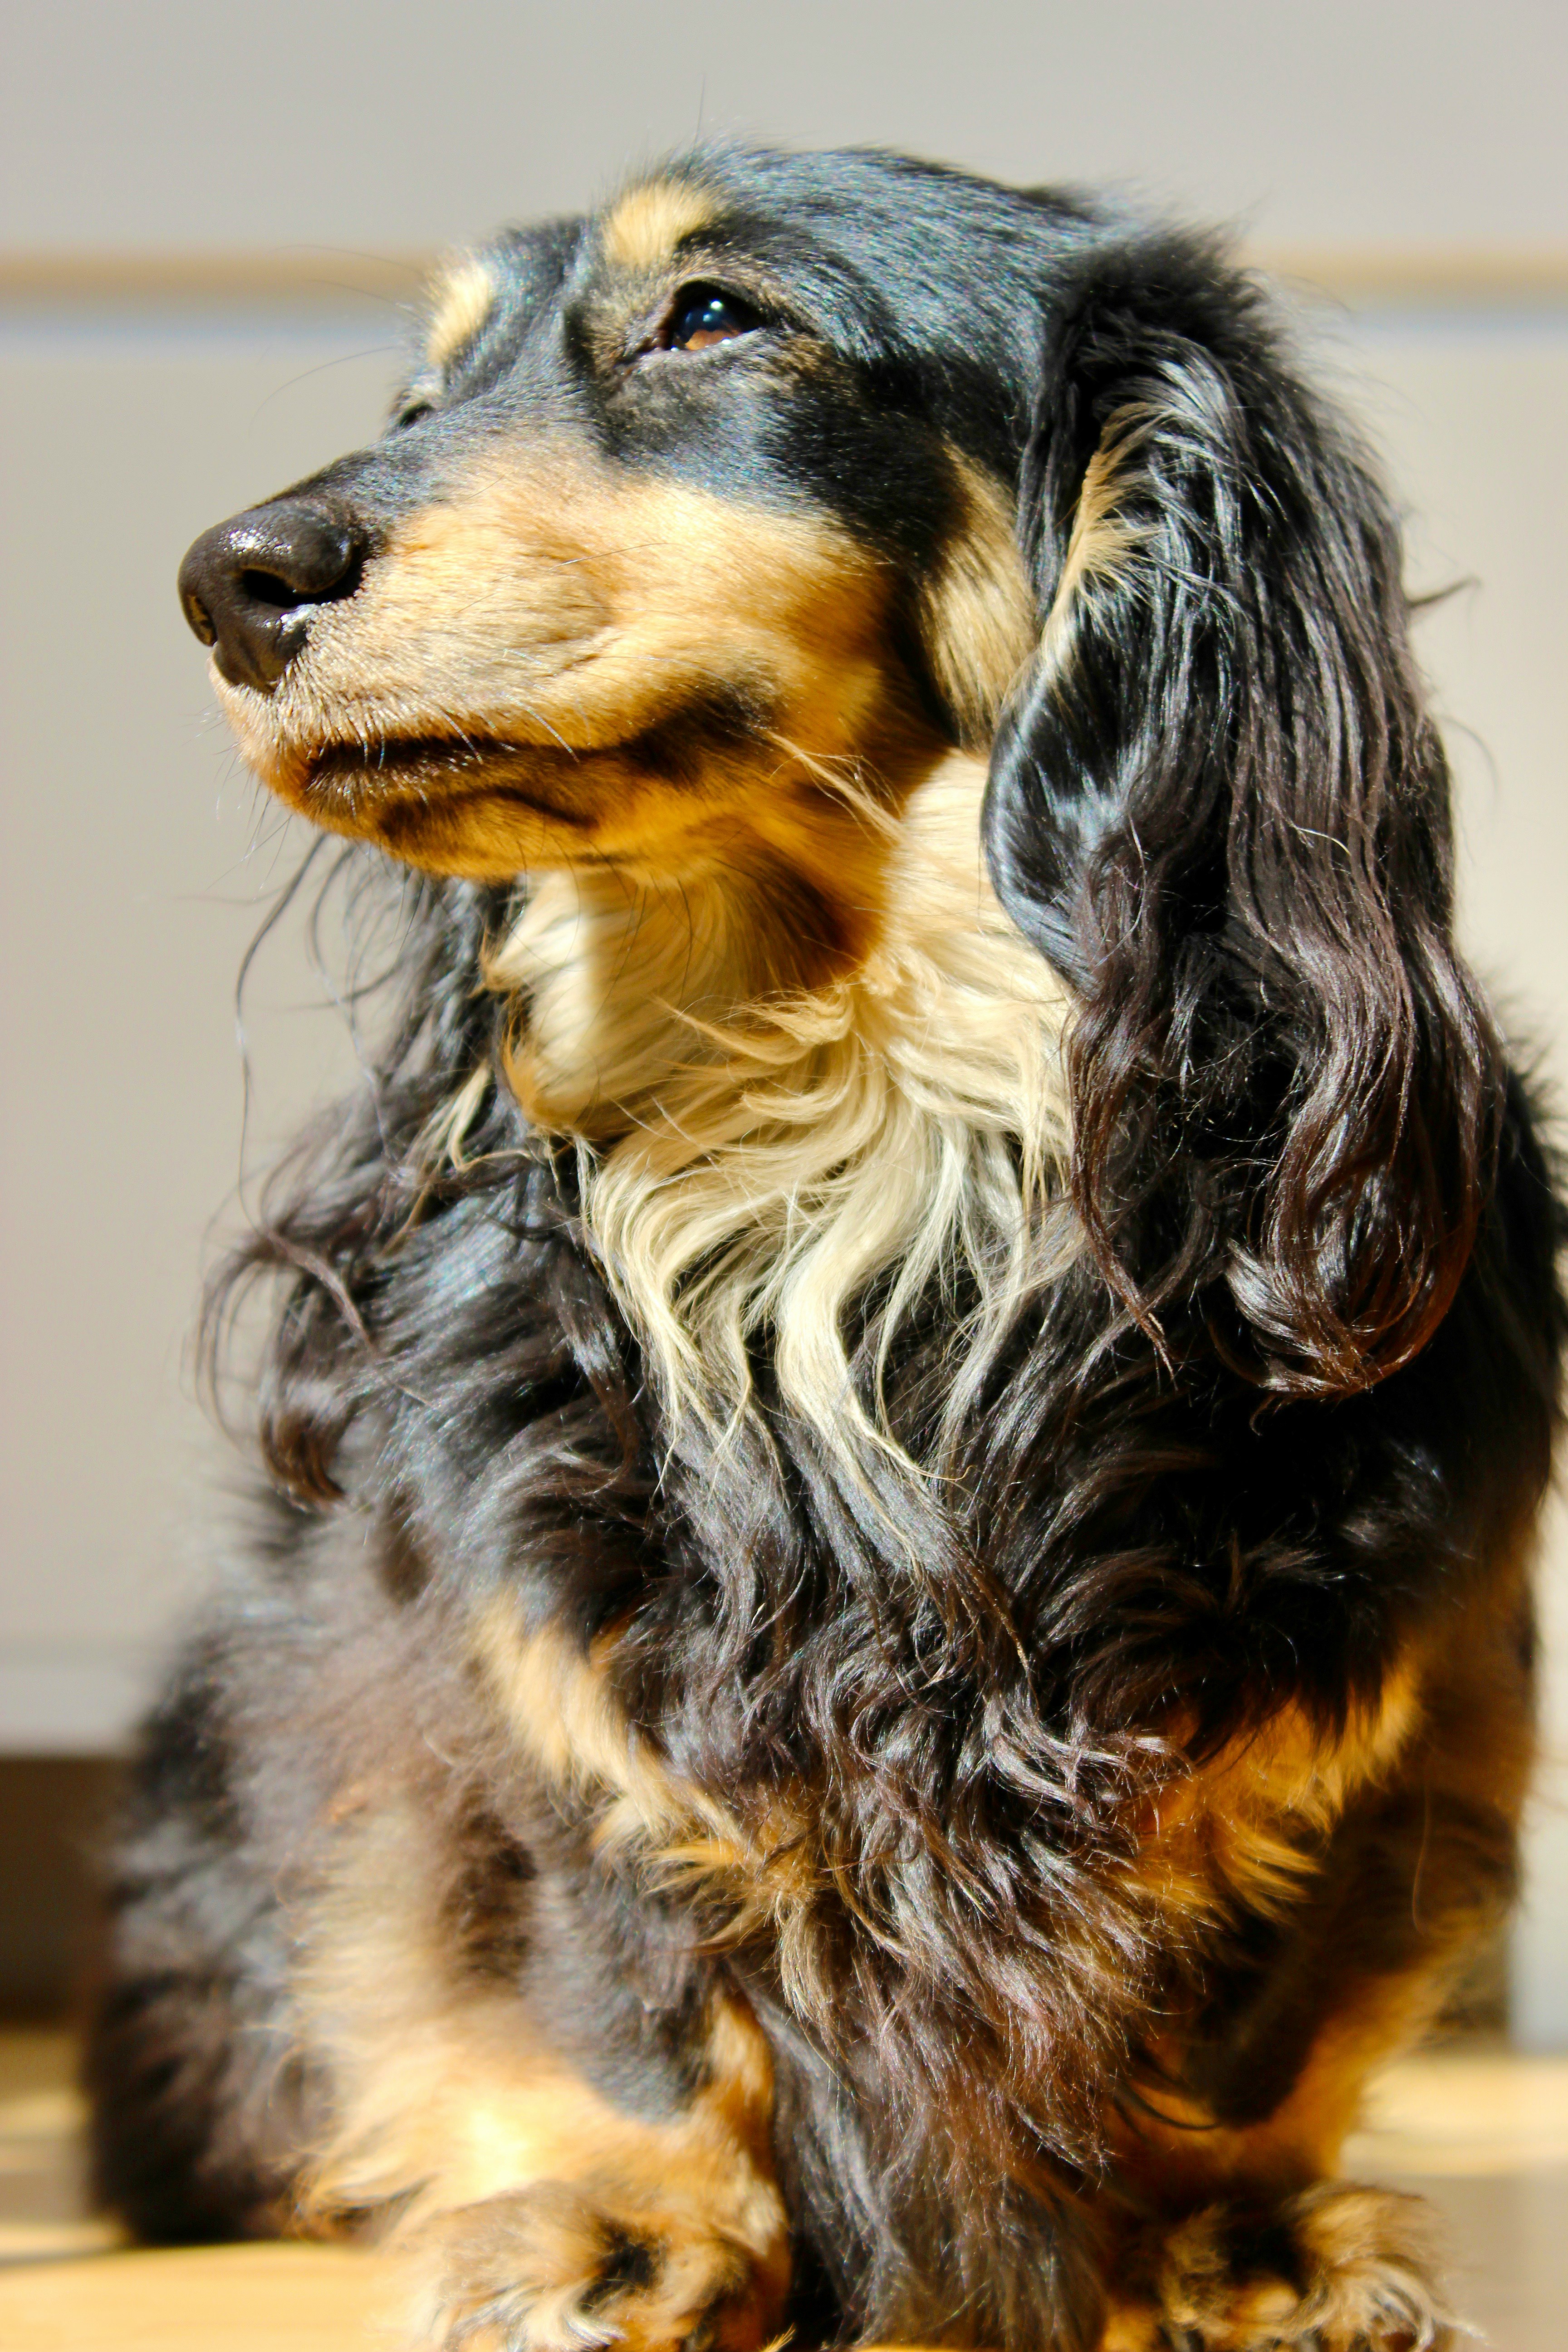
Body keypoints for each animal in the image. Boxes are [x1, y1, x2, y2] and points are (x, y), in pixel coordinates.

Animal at [88, 147, 1568, 2352]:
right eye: (424, 388)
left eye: (717, 316)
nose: (227, 580)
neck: (854, 1136)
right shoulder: (532, 1669)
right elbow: (611, 1972)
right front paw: (625, 2224)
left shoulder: (1374, 1651)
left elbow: (1255, 2013)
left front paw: (1245, 2233)